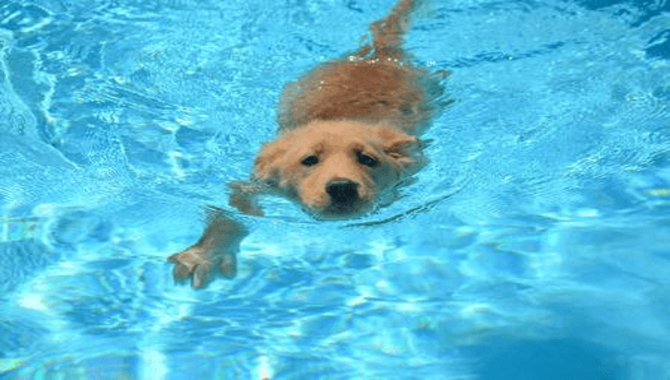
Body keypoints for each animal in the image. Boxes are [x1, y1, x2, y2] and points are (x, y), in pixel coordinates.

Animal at [169, 0, 452, 286]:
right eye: (309, 160)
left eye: (367, 159)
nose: (342, 188)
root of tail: (377, 55)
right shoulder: (258, 183)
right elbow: (230, 213)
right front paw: (206, 254)